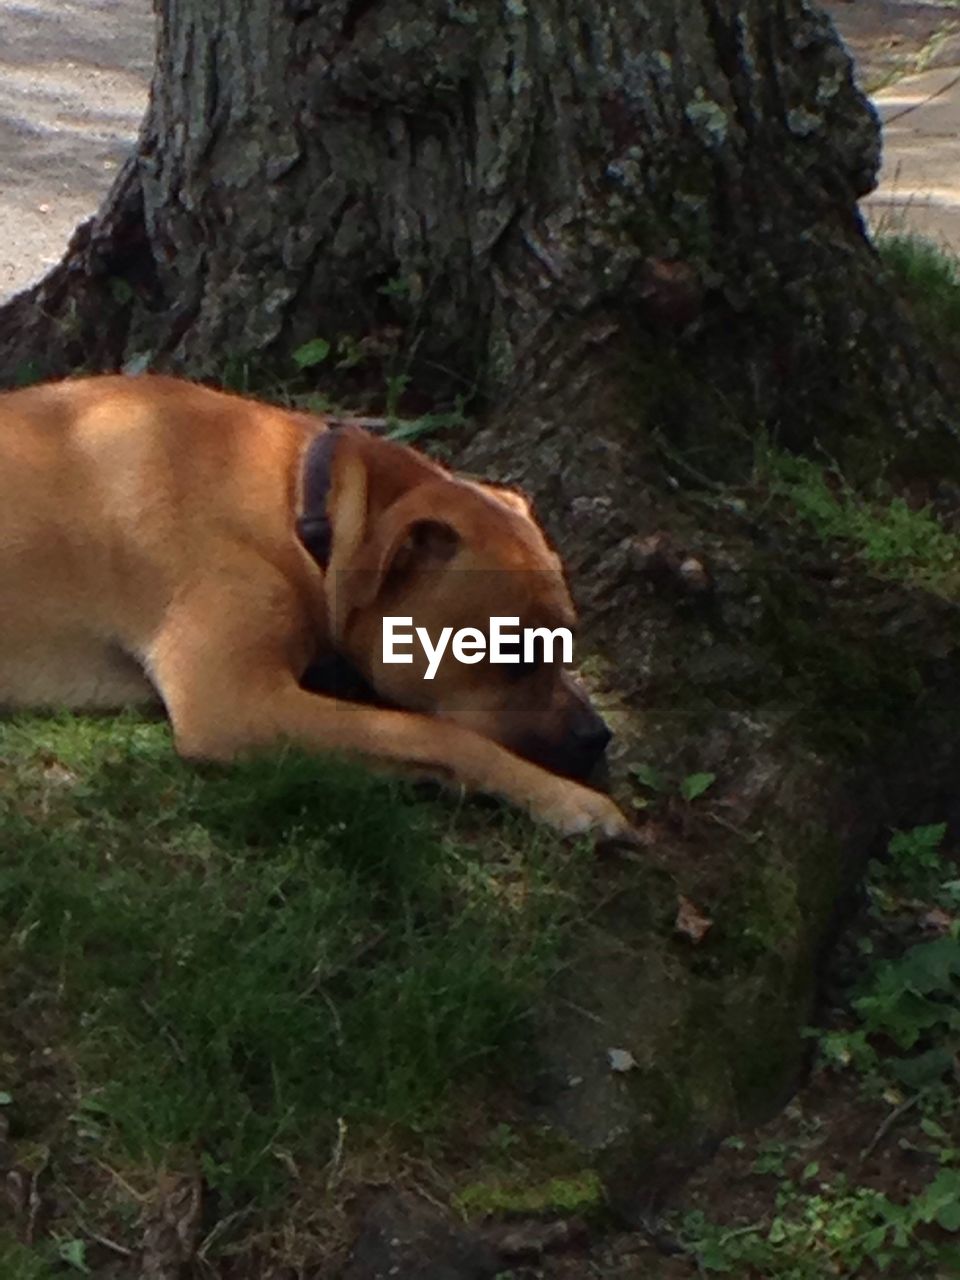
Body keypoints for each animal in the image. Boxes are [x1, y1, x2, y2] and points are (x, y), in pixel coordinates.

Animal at [1, 376, 640, 839]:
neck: (305, 507)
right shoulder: (238, 704)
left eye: (565, 641)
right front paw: (564, 798)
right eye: (510, 654)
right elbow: (438, 734)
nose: (598, 736)